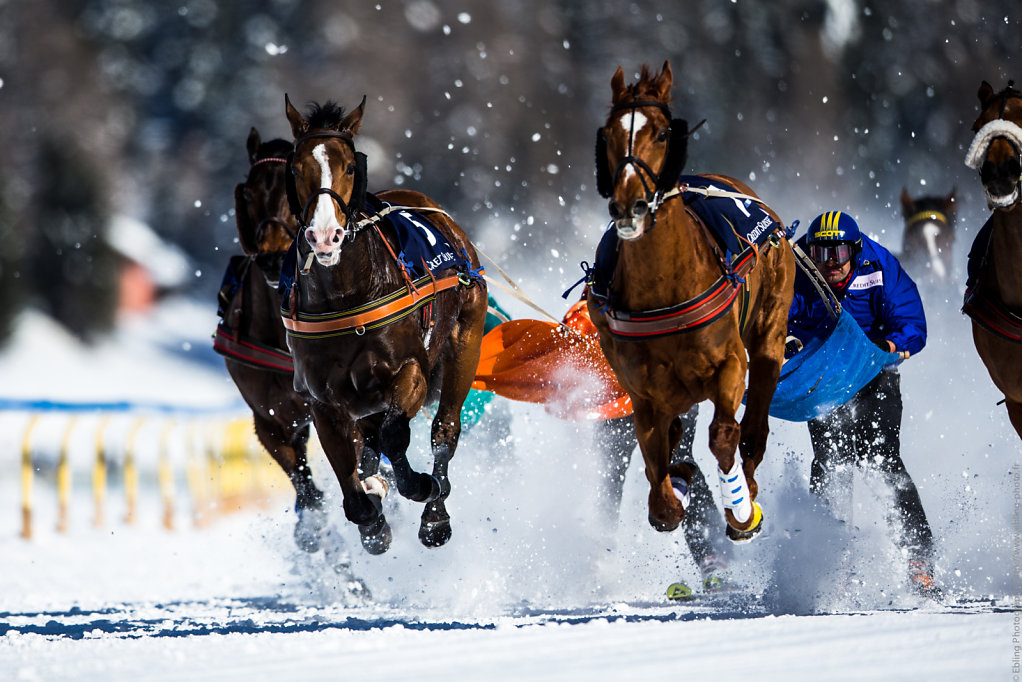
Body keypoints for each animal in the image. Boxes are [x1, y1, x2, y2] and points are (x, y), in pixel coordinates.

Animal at [280, 96, 486, 556]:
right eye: (296, 168)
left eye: (349, 166)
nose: (325, 236)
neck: (345, 298)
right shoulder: (323, 398)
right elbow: (353, 486)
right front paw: (372, 520)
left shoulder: (410, 368)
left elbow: (396, 435)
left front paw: (422, 489)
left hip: (466, 335)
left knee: (443, 431)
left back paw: (434, 512)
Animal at [588, 62, 793, 543]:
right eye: (609, 134)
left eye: (662, 133)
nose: (628, 204)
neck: (665, 293)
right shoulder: (643, 392)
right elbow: (658, 475)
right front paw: (673, 490)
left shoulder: (729, 361)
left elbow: (724, 435)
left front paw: (740, 508)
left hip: (771, 325)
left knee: (754, 426)